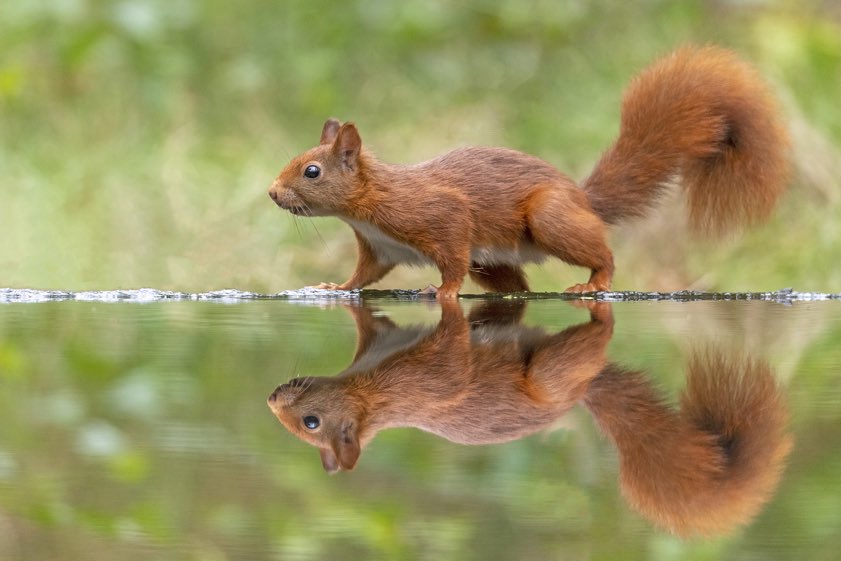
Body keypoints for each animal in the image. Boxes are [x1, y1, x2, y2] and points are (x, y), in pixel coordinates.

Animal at [268, 46, 790, 298]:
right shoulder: (377, 248)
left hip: (550, 218)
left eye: (311, 171)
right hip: (496, 262)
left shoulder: (438, 215)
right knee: (517, 290)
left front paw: (442, 291)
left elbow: (452, 258)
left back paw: (595, 282)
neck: (368, 206)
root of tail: (581, 198)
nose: (272, 193)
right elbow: (363, 277)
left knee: (602, 252)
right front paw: (334, 286)